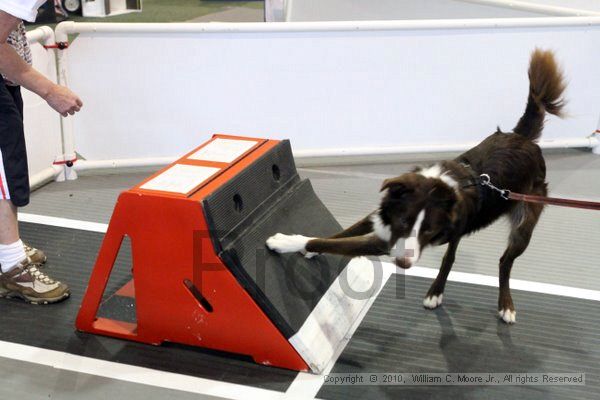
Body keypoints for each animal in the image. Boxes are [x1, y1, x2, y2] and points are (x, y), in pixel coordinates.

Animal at [268, 49, 568, 324]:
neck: (439, 185)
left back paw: (502, 304)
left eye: (429, 231)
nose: (403, 264)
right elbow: (341, 233)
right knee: (453, 257)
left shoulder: (385, 242)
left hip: (524, 225)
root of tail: (523, 138)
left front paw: (285, 242)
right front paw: (306, 248)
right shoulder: (381, 215)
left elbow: (336, 243)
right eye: (403, 221)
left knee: (502, 262)